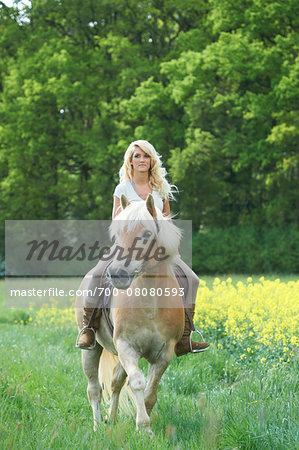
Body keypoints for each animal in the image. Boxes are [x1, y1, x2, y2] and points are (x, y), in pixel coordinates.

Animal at [75, 193, 185, 436]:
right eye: (117, 235)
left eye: (146, 234)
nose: (117, 274)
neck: (151, 304)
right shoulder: (127, 347)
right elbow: (137, 383)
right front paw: (143, 428)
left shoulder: (164, 354)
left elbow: (150, 393)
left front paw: (143, 422)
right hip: (91, 349)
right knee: (94, 389)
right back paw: (98, 426)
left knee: (115, 383)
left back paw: (112, 418)